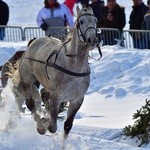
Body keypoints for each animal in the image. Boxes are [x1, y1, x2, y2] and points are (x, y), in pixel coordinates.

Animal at [11, 6, 100, 139]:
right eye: (81, 22)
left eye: (95, 21)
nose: (92, 40)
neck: (73, 66)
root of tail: (33, 41)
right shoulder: (56, 97)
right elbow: (52, 127)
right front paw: (45, 123)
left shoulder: (77, 99)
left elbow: (67, 125)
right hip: (27, 80)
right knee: (30, 103)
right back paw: (40, 126)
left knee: (43, 93)